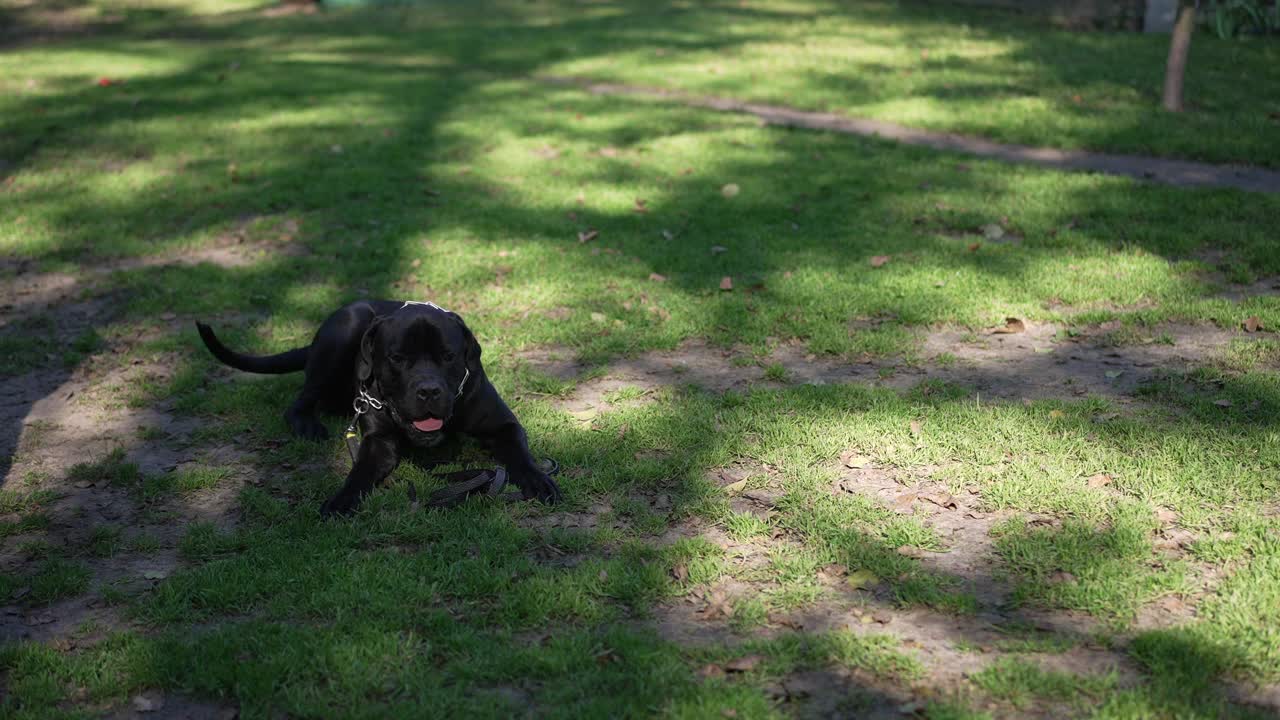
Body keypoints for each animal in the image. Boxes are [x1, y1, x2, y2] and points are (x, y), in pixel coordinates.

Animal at [194, 298, 560, 515]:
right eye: (397, 358)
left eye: (448, 356)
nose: (428, 391)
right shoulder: (378, 442)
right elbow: (360, 471)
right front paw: (342, 499)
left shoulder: (502, 424)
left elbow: (520, 453)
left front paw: (538, 480)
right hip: (344, 329)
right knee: (302, 398)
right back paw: (308, 424)